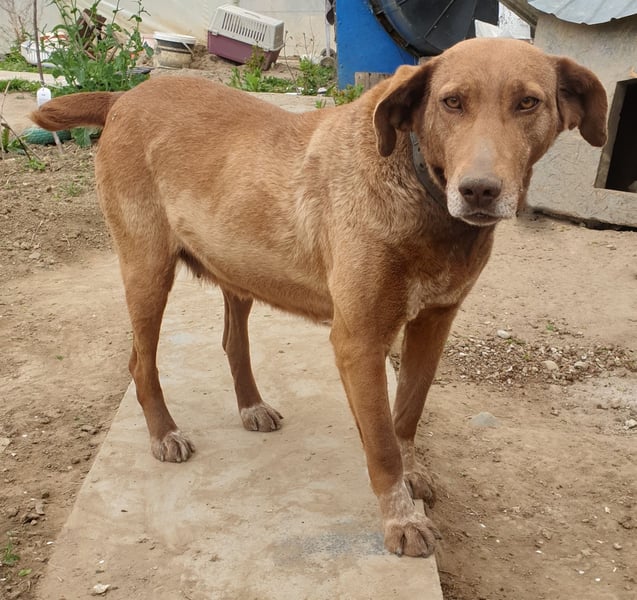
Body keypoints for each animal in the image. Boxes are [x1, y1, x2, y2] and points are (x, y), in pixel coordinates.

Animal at [31, 38, 607, 557]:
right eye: (451, 102)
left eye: (528, 102)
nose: (479, 191)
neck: (419, 187)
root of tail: (127, 95)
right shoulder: (358, 339)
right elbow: (381, 442)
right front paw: (400, 520)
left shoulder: (434, 323)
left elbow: (406, 415)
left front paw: (410, 475)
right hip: (147, 268)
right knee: (140, 360)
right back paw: (164, 433)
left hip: (238, 268)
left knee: (232, 341)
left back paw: (251, 406)